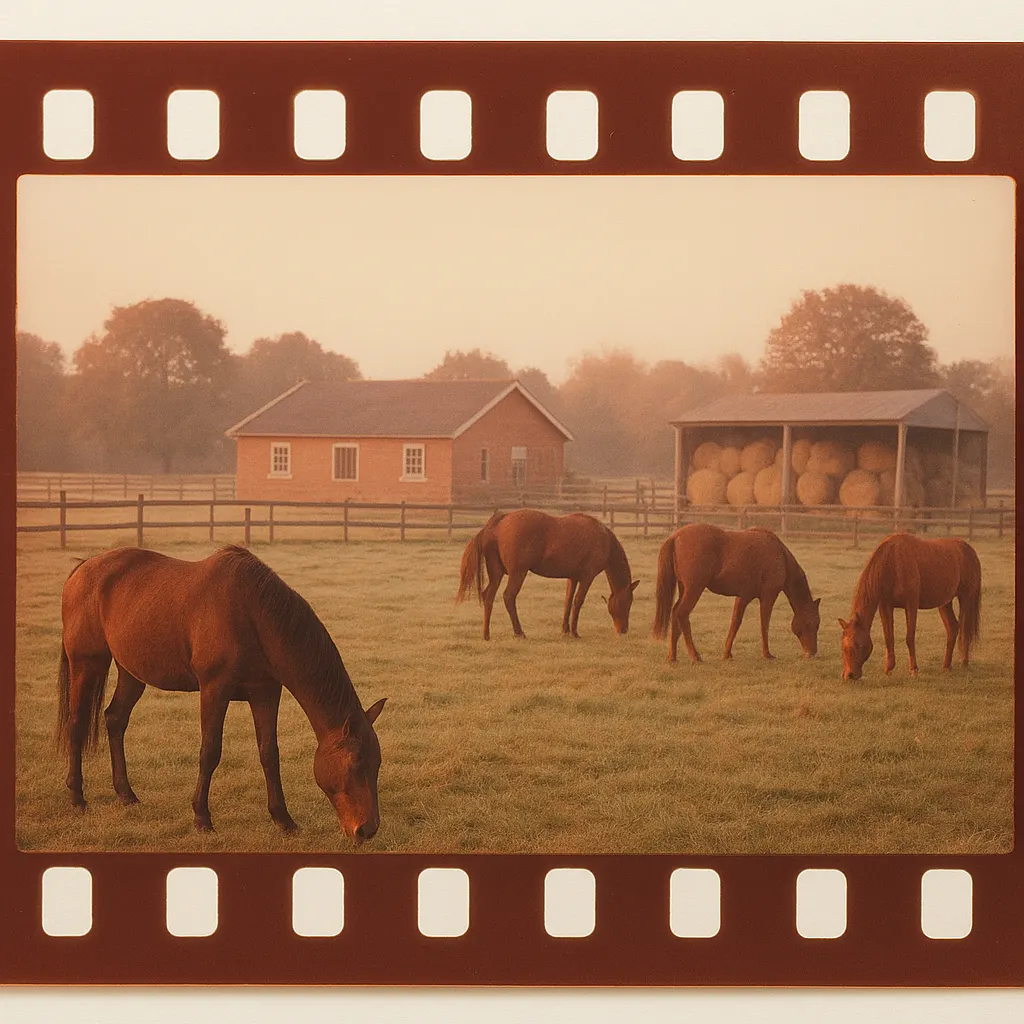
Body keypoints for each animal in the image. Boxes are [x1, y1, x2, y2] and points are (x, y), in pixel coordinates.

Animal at [56, 545, 387, 843]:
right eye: (355, 763)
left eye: (377, 764)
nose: (367, 829)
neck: (252, 614)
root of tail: (82, 569)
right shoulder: (214, 690)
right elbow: (210, 751)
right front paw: (202, 818)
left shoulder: (266, 693)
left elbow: (269, 753)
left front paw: (283, 819)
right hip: (87, 663)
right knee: (76, 724)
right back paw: (77, 797)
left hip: (132, 672)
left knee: (115, 720)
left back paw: (126, 794)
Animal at [455, 509, 639, 639]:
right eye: (628, 602)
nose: (623, 630)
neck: (604, 539)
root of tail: (499, 523)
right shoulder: (587, 577)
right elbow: (578, 602)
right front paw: (574, 632)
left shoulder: (572, 578)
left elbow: (568, 601)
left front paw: (565, 630)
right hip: (518, 573)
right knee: (508, 597)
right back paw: (519, 632)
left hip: (497, 574)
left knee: (488, 596)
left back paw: (486, 634)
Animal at [652, 523, 821, 664]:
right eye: (813, 623)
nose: (812, 653)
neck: (780, 555)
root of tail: (676, 536)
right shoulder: (768, 596)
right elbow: (764, 624)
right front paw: (767, 654)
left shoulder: (743, 597)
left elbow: (735, 623)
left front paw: (727, 654)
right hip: (694, 589)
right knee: (682, 614)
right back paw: (695, 656)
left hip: (684, 589)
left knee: (675, 614)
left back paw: (673, 657)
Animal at [838, 533, 981, 681]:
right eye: (843, 646)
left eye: (858, 645)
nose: (849, 675)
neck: (893, 562)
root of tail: (968, 549)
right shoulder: (885, 606)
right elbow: (889, 637)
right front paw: (888, 669)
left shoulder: (911, 605)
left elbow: (909, 637)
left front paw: (914, 670)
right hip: (945, 603)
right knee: (952, 628)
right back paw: (946, 666)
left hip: (966, 598)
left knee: (966, 628)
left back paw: (964, 662)